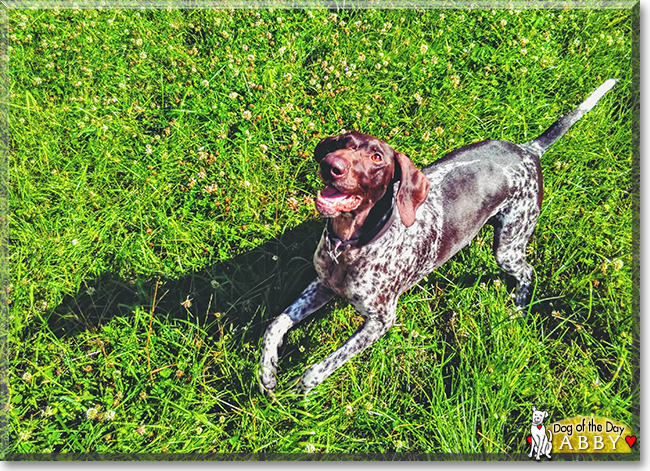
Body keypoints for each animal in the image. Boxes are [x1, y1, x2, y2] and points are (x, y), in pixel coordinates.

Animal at [256, 79, 612, 396]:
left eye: (376, 158)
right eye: (340, 143)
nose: (332, 164)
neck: (350, 245)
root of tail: (528, 149)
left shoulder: (380, 321)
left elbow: (319, 367)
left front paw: (300, 388)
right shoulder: (322, 286)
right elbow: (275, 325)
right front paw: (267, 372)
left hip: (509, 245)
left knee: (527, 272)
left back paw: (518, 308)